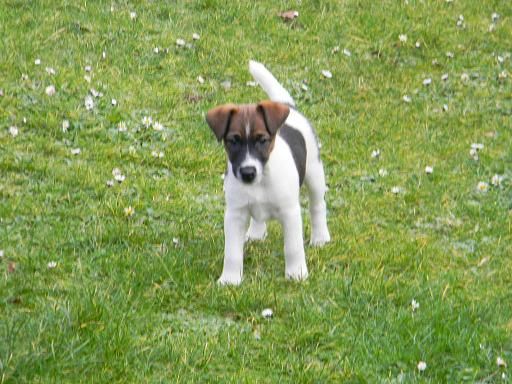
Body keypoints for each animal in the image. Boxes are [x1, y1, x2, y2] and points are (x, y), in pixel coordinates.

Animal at [206, 60, 330, 284]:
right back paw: (256, 234)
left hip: (314, 173)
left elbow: (293, 247)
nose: (248, 172)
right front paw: (230, 279)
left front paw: (296, 274)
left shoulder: (290, 212)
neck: (262, 179)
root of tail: (289, 107)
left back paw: (320, 237)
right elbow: (232, 253)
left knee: (318, 205)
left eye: (262, 140)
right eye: (232, 141)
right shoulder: (235, 213)